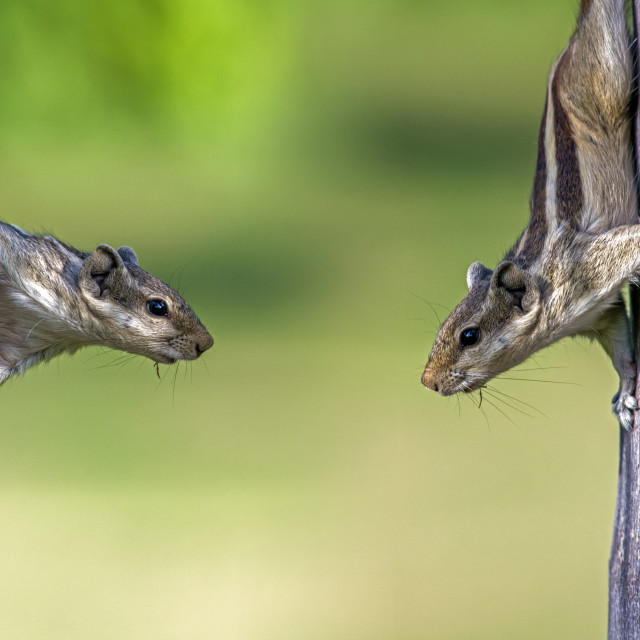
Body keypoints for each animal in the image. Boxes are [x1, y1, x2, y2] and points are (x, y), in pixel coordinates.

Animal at [420, 0, 640, 430]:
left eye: (469, 336)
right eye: (443, 326)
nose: (427, 382)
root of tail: (568, 52)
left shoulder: (594, 264)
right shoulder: (600, 315)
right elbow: (622, 348)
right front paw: (625, 395)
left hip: (608, 74)